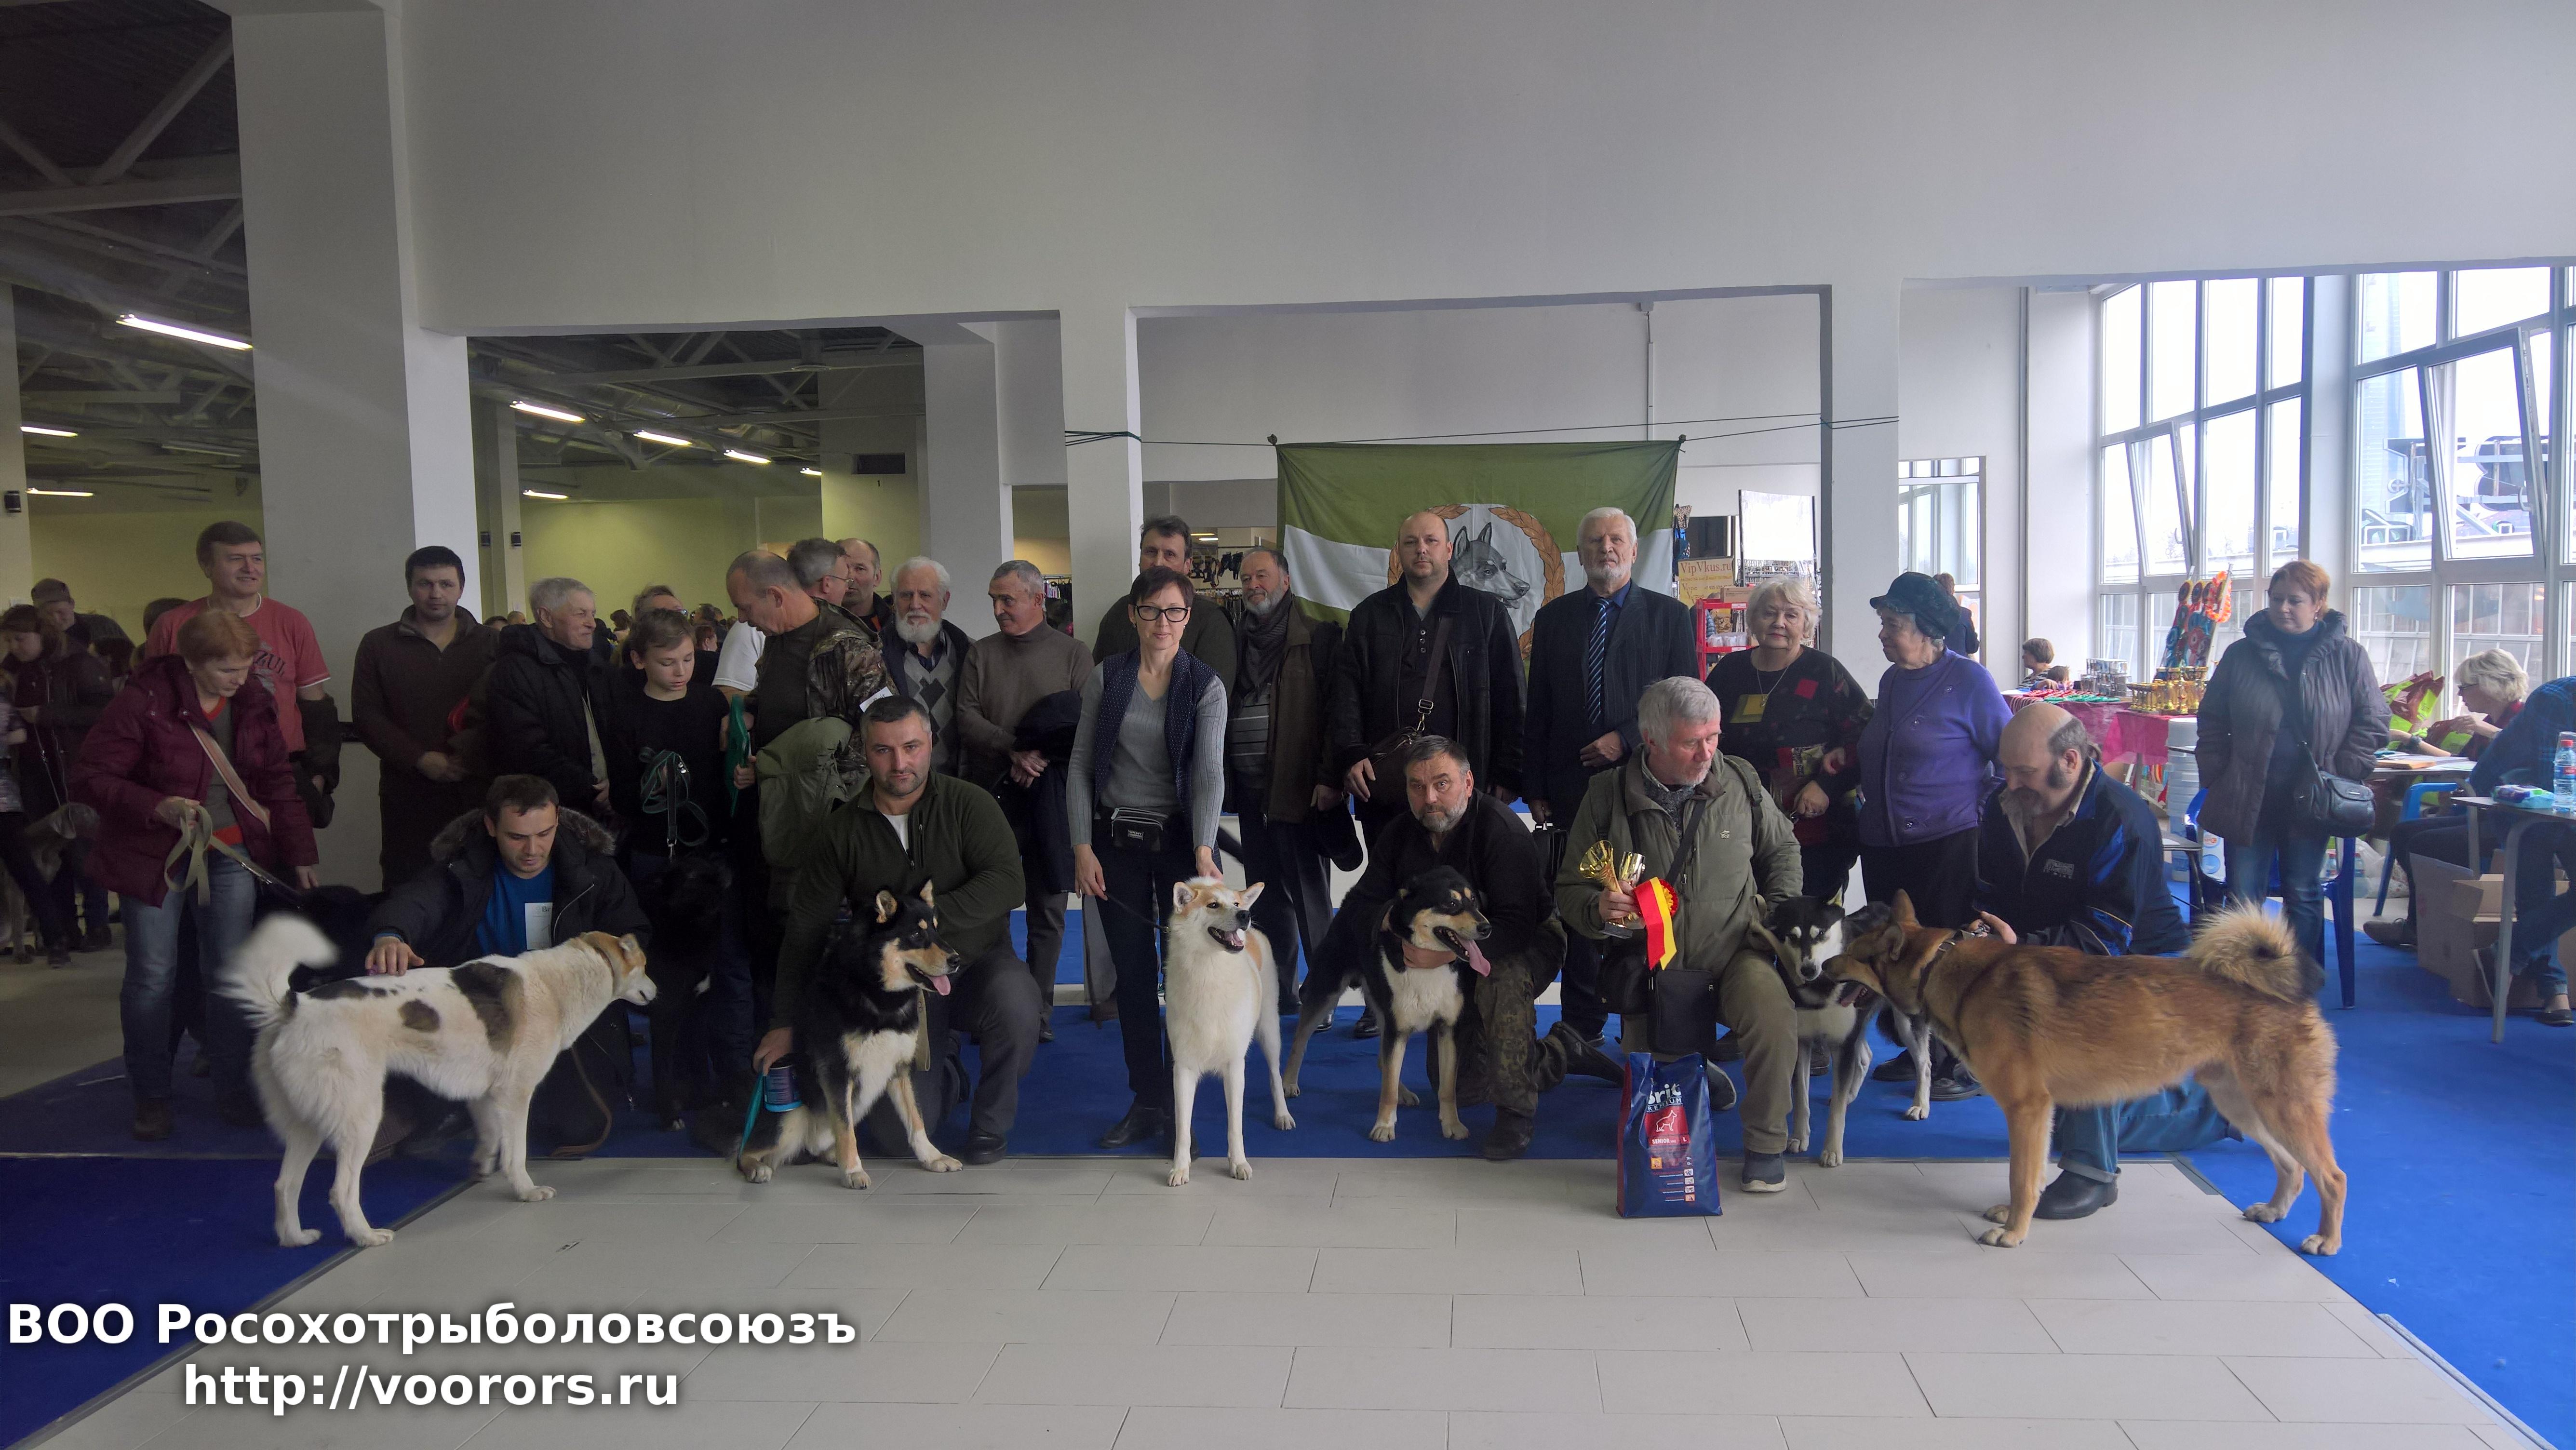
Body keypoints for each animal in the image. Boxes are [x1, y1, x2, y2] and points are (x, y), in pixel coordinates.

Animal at [225, 917, 655, 1248]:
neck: (554, 983)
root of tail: (295, 1006)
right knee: (341, 1190)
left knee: (284, 1185)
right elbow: (516, 1153)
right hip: (360, 1119)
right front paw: (525, 1190)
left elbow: (490, 1138)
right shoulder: (515, 1094)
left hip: (307, 1125)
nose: (656, 990)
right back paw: (366, 1237)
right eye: (645, 966)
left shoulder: (485, 1095)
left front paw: (483, 1168)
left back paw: (295, 1239)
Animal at [736, 884, 962, 1188]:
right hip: (790, 1115)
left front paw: (933, 1157)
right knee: (746, 1150)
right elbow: (846, 1131)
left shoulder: (900, 1069)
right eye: (917, 935)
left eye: (937, 931)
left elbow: (916, 1121)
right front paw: (853, 1171)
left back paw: (832, 1156)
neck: (878, 994)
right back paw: (757, 1167)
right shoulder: (837, 1072)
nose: (956, 960)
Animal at [1163, 878, 1294, 1185]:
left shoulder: (1235, 1066)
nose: (1245, 915)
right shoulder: (1183, 1068)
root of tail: (1255, 934)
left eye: (1234, 904)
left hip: (1269, 1031)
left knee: (1275, 1075)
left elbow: (1235, 1124)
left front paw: (1239, 1164)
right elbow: (1182, 1128)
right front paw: (1180, 1169)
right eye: (1213, 905)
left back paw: (1282, 1115)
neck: (1210, 972)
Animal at [1285, 866, 1491, 1143]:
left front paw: (1453, 1125)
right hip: (1326, 991)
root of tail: (1349, 902)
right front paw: (1384, 1126)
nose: (1486, 927)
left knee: (1384, 1062)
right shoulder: (1398, 1029)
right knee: (1300, 1042)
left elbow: (1447, 1088)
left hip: (1383, 1009)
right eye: (1451, 904)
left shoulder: (1447, 1029)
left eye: (1475, 902)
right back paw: (1288, 1083)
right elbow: (1388, 1089)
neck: (1429, 965)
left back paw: (1404, 1093)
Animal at [1826, 891, 2347, 1254]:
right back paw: (2274, 1210)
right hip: (2243, 1104)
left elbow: (2020, 1175)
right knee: (2292, 1166)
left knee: (2332, 1176)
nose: (1821, 965)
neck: (1945, 966)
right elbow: (2033, 1174)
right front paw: (2017, 1216)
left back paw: (2326, 1240)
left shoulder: (2027, 1107)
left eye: (1855, 952)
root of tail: (2286, 991)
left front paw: (2013, 1232)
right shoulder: (2040, 1113)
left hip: (2282, 1107)